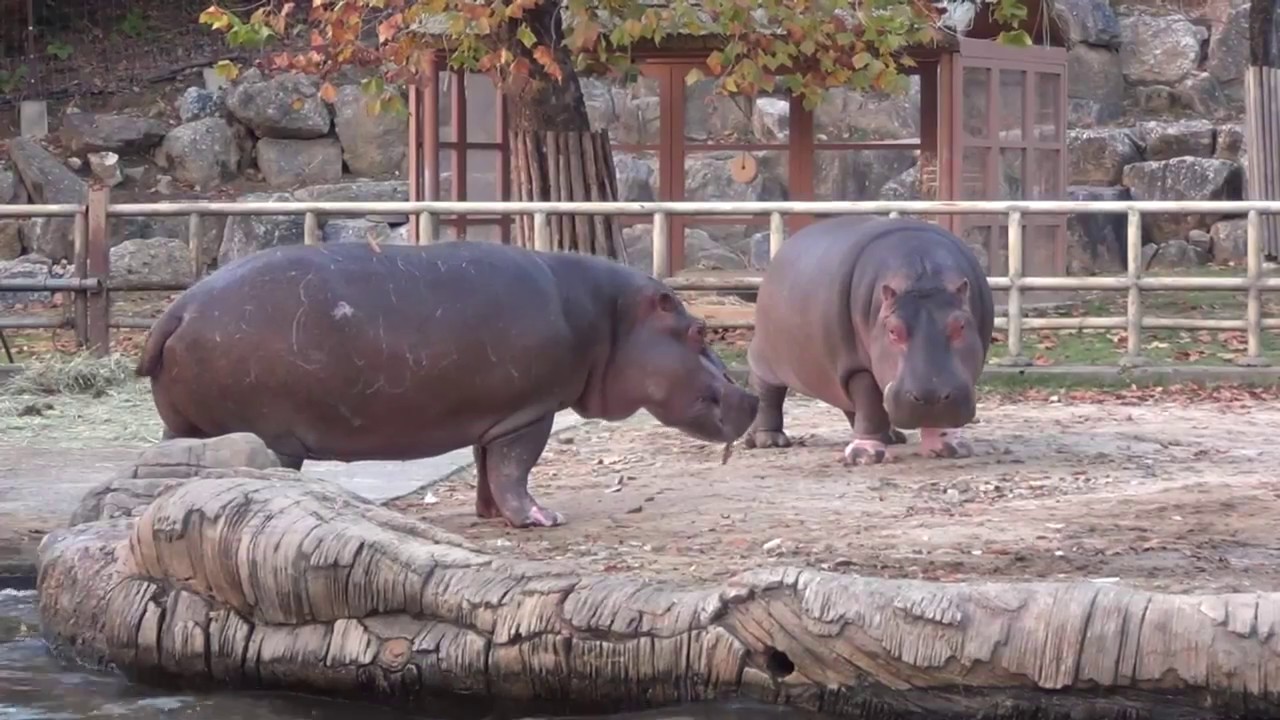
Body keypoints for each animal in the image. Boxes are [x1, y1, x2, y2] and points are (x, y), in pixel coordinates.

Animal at [135, 241, 759, 528]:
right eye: (699, 329)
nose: (751, 396)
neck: (612, 318)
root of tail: (178, 308)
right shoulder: (531, 411)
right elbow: (516, 468)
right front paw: (543, 519)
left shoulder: (498, 415)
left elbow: (488, 467)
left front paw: (490, 516)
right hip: (269, 436)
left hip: (180, 426)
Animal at [744, 215, 994, 464]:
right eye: (893, 331)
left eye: (960, 325)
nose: (930, 396)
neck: (922, 277)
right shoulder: (857, 366)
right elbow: (870, 403)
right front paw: (865, 455)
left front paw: (950, 448)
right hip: (766, 358)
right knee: (768, 394)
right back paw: (769, 441)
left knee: (849, 404)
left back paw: (892, 437)